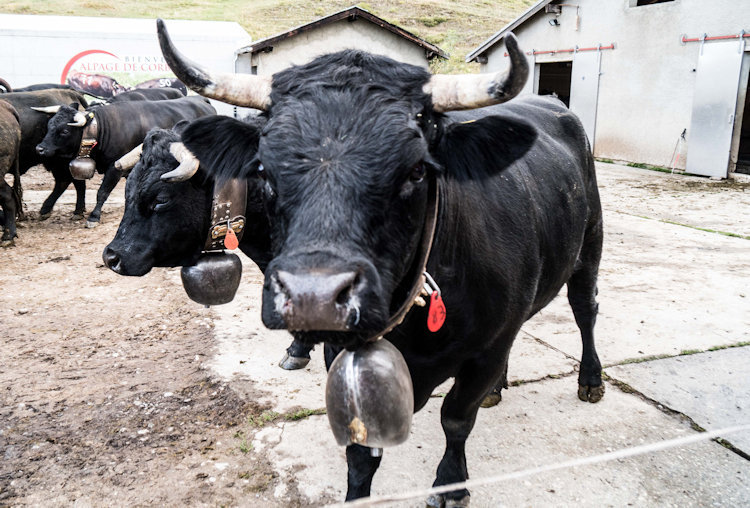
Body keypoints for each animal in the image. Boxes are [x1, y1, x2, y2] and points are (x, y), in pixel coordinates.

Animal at [36, 96, 216, 226]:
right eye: (49, 125)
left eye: (64, 131)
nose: (40, 148)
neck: (101, 129)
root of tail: (201, 100)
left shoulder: (115, 166)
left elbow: (102, 192)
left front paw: (94, 216)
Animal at [159, 19, 604, 504]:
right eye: (263, 171)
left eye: (417, 171)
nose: (313, 298)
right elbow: (360, 449)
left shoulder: (487, 346)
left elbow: (456, 416)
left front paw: (450, 482)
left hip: (590, 246)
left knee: (585, 310)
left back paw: (591, 380)